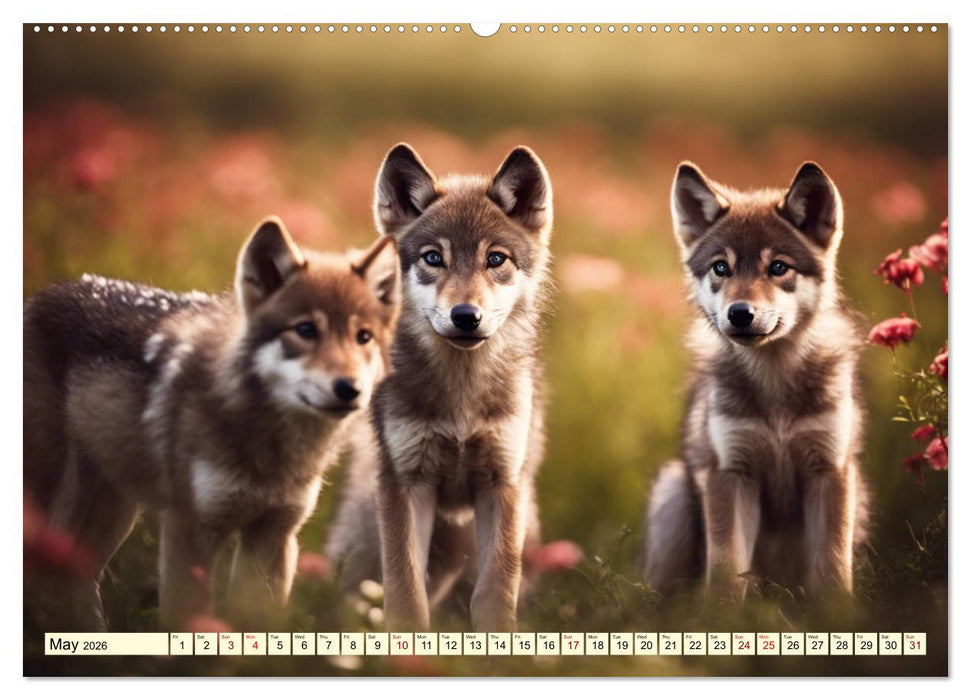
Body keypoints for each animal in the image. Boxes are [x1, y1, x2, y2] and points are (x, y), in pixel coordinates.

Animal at [23, 217, 398, 629]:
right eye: (305, 330)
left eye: (363, 337)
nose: (349, 389)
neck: (272, 450)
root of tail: (51, 291)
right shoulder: (189, 529)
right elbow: (187, 621)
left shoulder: (274, 535)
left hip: (112, 513)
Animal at [326, 143, 553, 632]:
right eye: (433, 258)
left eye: (496, 259)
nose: (466, 315)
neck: (461, 399)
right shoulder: (405, 483)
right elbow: (405, 593)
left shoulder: (502, 484)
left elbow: (494, 594)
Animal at [643, 161, 869, 599]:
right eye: (721, 267)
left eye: (778, 267)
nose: (740, 313)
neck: (774, 380)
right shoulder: (728, 474)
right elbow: (726, 575)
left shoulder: (830, 470)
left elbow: (833, 573)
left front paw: (838, 614)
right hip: (675, 491)